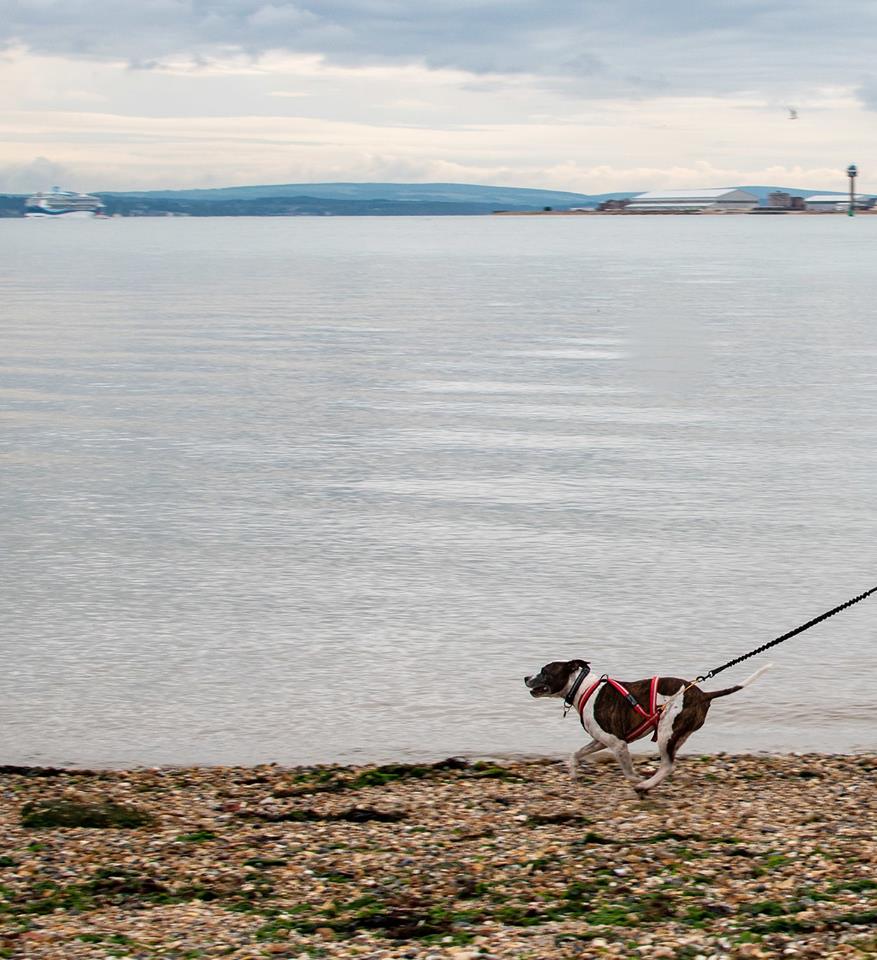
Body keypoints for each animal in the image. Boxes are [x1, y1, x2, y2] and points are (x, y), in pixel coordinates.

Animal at [524, 660, 768, 796]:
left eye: (544, 670)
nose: (525, 677)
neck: (583, 687)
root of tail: (703, 695)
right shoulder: (600, 740)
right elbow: (575, 754)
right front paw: (574, 774)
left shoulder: (617, 743)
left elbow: (628, 772)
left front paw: (637, 780)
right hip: (676, 735)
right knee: (670, 763)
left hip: (666, 732)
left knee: (668, 765)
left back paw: (645, 786)